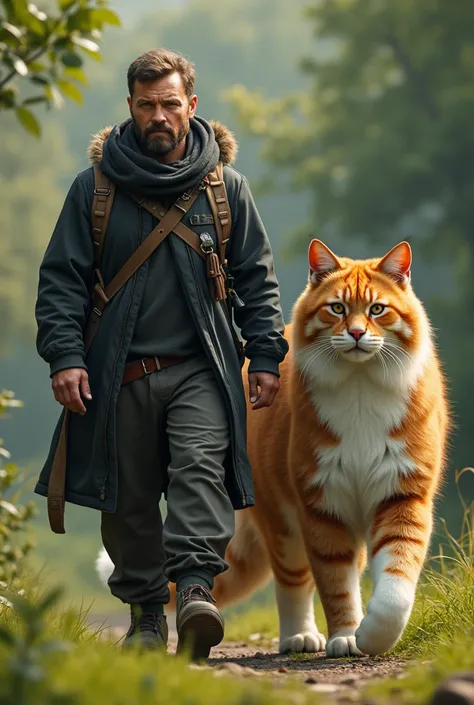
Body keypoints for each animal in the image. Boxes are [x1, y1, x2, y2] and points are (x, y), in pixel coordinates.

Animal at [209, 239, 450, 656]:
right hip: (281, 522)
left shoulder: (402, 493)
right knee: (293, 581)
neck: (360, 384)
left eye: (376, 309)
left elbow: (395, 586)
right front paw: (346, 636)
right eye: (337, 308)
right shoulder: (322, 503)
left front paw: (371, 635)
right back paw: (299, 637)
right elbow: (335, 583)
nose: (354, 333)